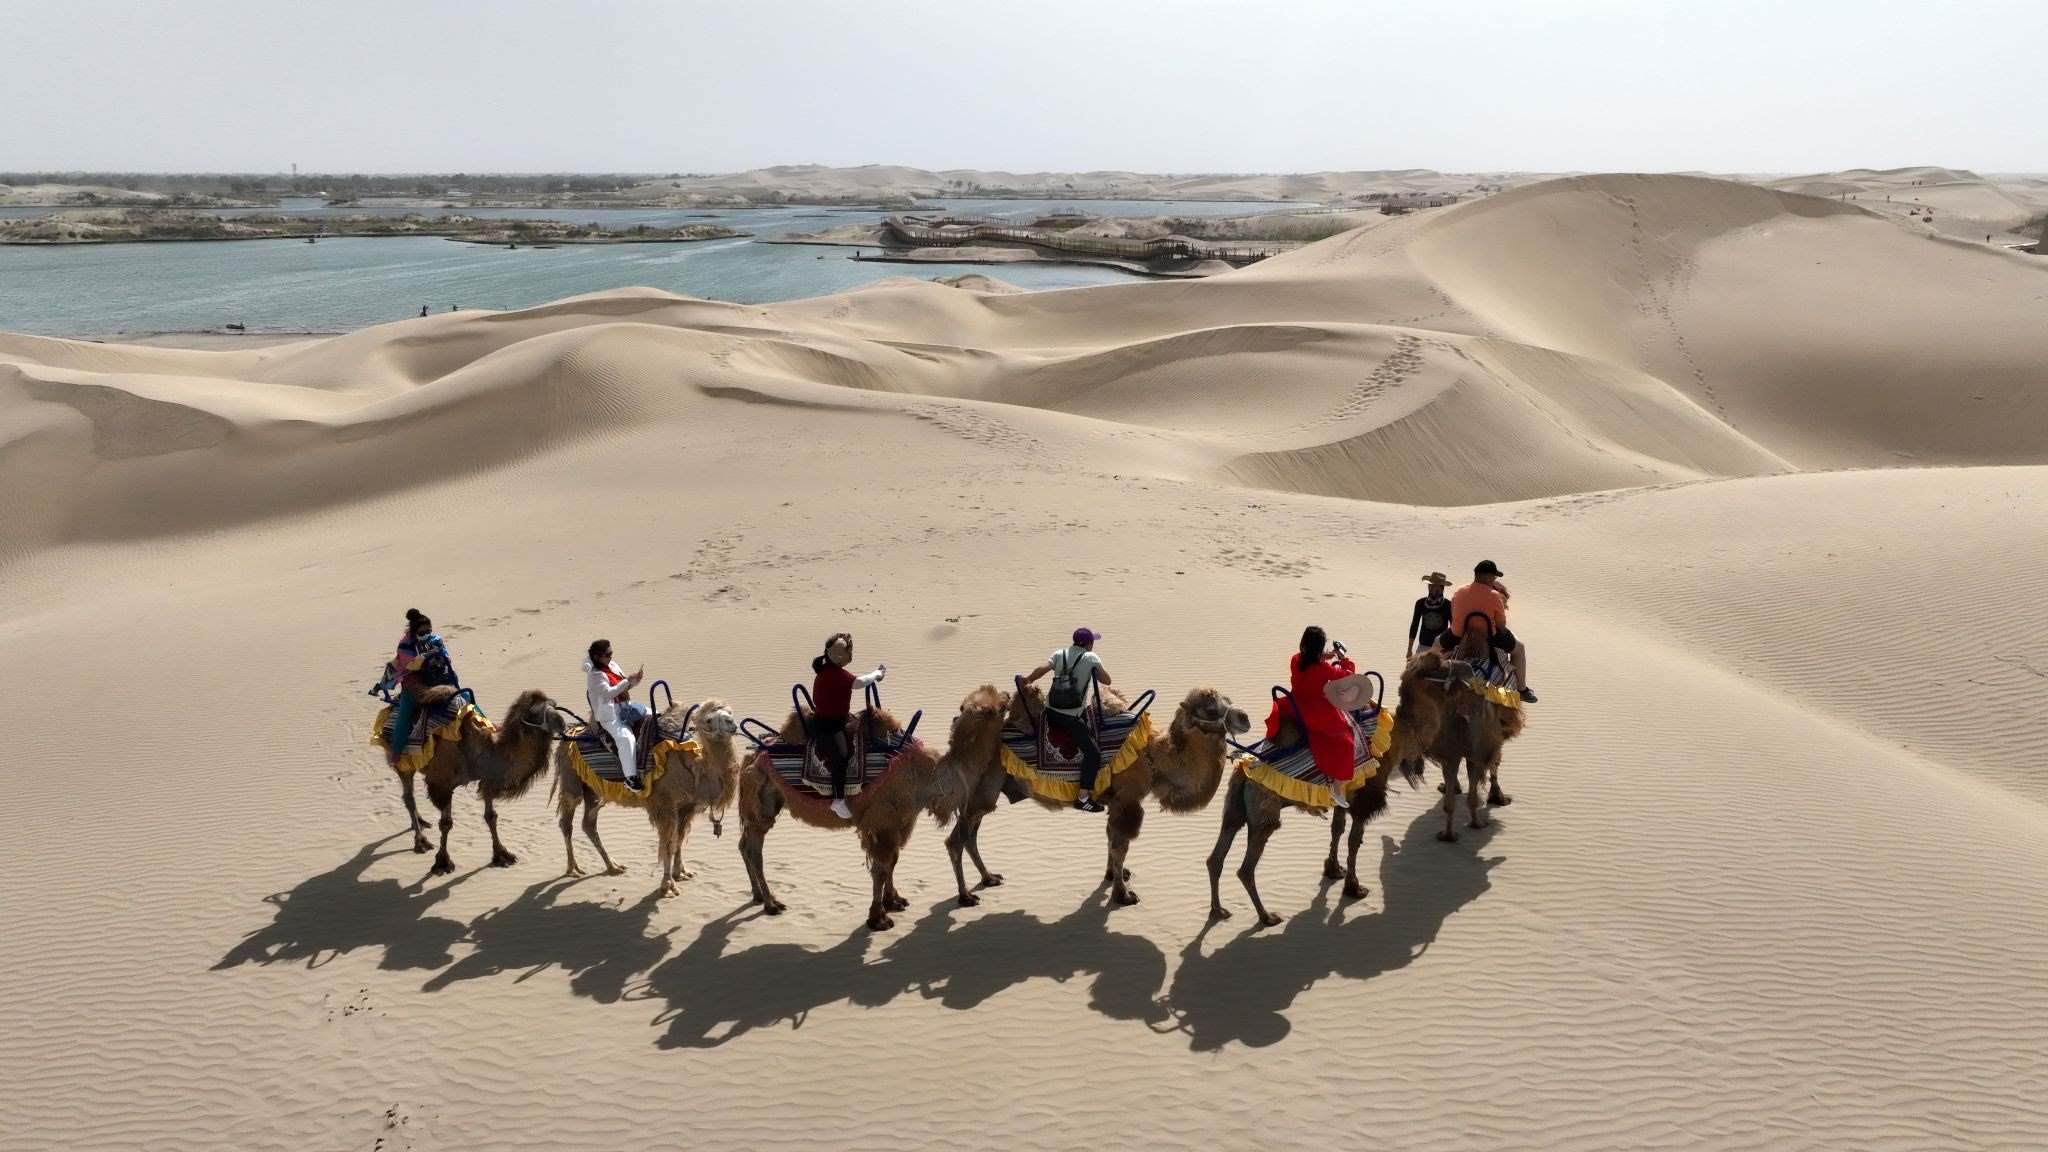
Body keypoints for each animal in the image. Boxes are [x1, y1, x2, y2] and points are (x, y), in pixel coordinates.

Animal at [406, 685, 573, 876]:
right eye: (533, 713)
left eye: (554, 705)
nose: (561, 722)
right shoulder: (442, 784)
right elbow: (446, 823)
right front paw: (442, 863)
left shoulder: (489, 780)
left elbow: (491, 816)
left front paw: (502, 855)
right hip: (402, 763)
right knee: (409, 797)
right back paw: (420, 841)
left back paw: (420, 824)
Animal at [551, 698, 743, 898]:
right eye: (709, 720)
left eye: (730, 712)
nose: (732, 723)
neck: (694, 767)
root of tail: (569, 734)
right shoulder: (665, 804)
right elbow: (668, 844)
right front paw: (668, 886)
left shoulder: (686, 806)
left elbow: (679, 839)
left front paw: (681, 872)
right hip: (571, 780)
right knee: (567, 822)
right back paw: (573, 868)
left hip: (593, 789)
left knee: (588, 824)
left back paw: (613, 866)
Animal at [736, 685, 1009, 931]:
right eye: (992, 708)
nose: (1007, 695)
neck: (926, 776)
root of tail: (752, 756)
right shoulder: (882, 819)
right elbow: (881, 867)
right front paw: (878, 918)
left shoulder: (901, 820)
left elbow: (892, 861)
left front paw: (894, 900)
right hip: (762, 802)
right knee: (754, 850)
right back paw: (772, 903)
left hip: (764, 804)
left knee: (745, 844)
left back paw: (757, 896)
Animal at [1007, 683, 1250, 908]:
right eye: (1210, 709)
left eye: (1228, 700)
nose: (1245, 717)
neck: (1152, 757)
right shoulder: (1127, 800)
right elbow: (1120, 847)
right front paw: (1122, 895)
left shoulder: (1116, 801)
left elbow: (1110, 836)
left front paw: (1114, 875)